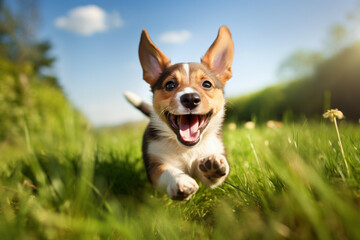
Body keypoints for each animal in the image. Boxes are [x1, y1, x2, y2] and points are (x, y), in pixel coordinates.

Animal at [125, 25, 235, 201]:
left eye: (207, 84)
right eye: (170, 85)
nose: (190, 98)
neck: (187, 149)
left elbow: (214, 178)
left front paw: (214, 166)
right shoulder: (155, 165)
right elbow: (166, 170)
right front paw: (180, 181)